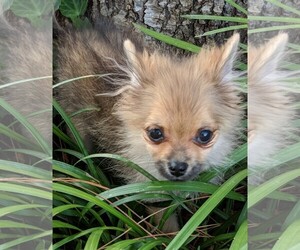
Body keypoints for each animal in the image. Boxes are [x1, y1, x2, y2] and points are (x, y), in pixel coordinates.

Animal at [54, 18, 244, 231]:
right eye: (155, 133)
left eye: (205, 135)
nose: (178, 167)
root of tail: (75, 32)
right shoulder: (153, 194)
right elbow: (167, 226)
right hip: (76, 124)